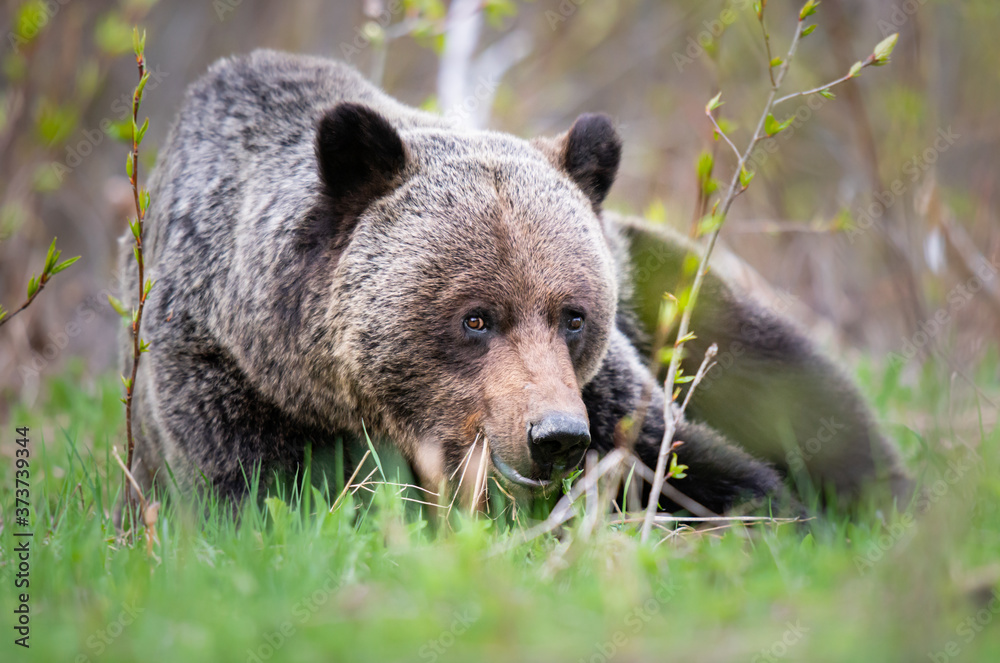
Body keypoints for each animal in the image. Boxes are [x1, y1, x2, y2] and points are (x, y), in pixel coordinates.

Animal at [117, 50, 908, 520]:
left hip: (667, 285)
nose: (554, 435)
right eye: (475, 317)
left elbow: (699, 462)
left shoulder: (611, 394)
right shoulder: (227, 386)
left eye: (573, 315)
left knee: (788, 378)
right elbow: (273, 501)